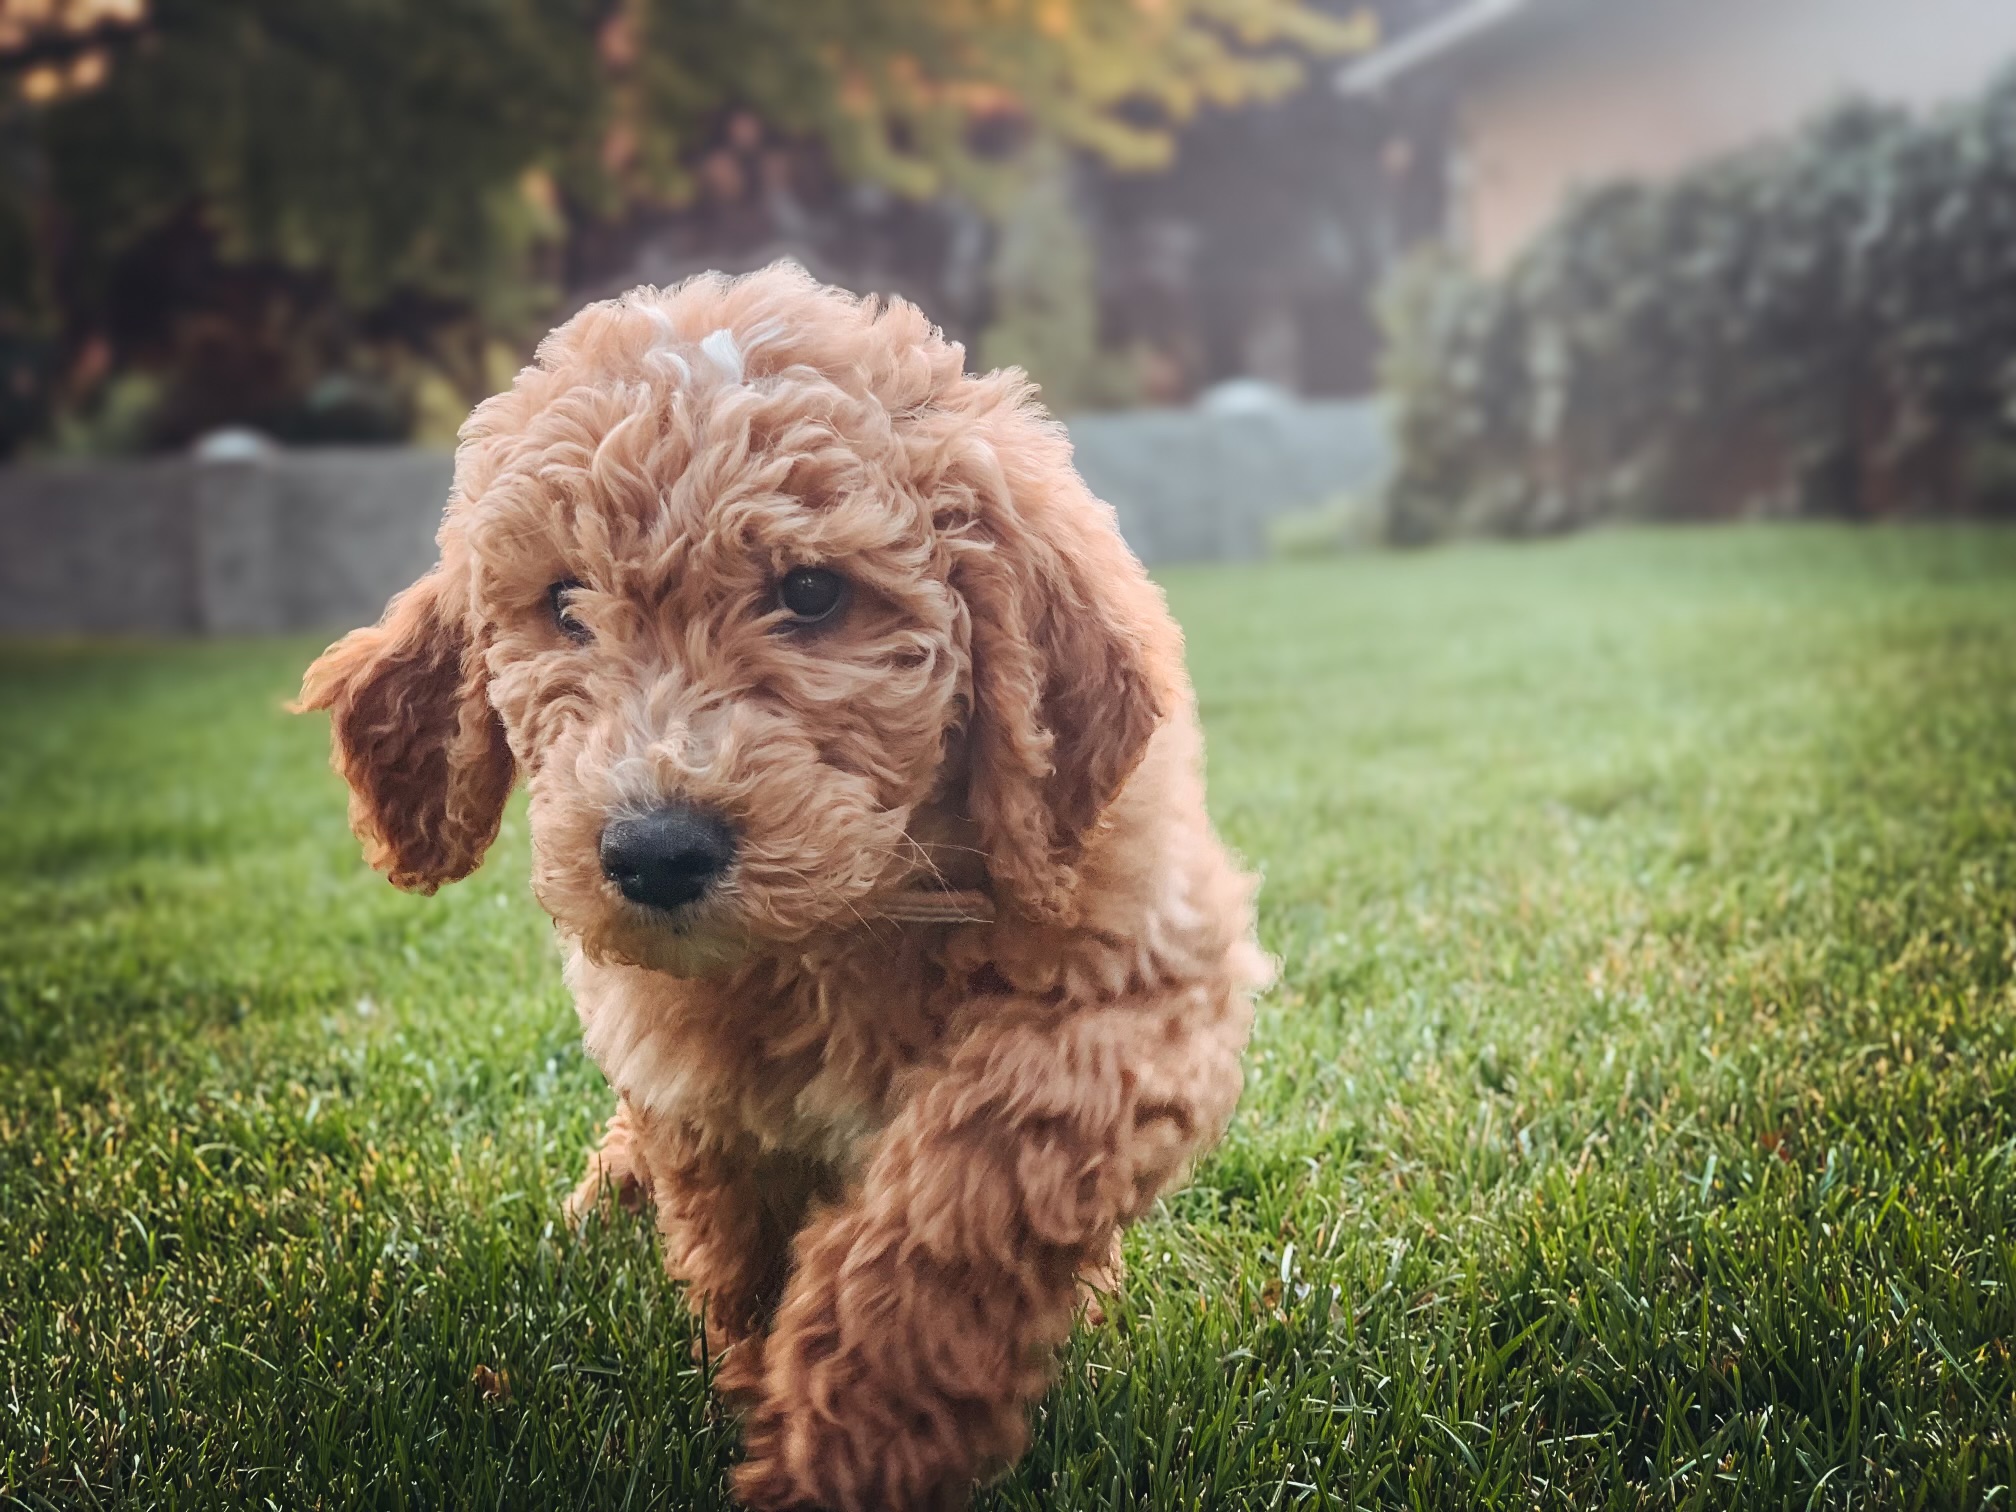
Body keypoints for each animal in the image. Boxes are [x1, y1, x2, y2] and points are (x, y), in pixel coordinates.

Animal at [298, 266, 1257, 1507]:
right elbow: (736, 1244)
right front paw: (767, 1386)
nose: (654, 853)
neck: (843, 926)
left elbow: (968, 1178)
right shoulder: (694, 1074)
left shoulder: (1136, 975)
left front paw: (849, 1439)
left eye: (811, 592)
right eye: (564, 602)